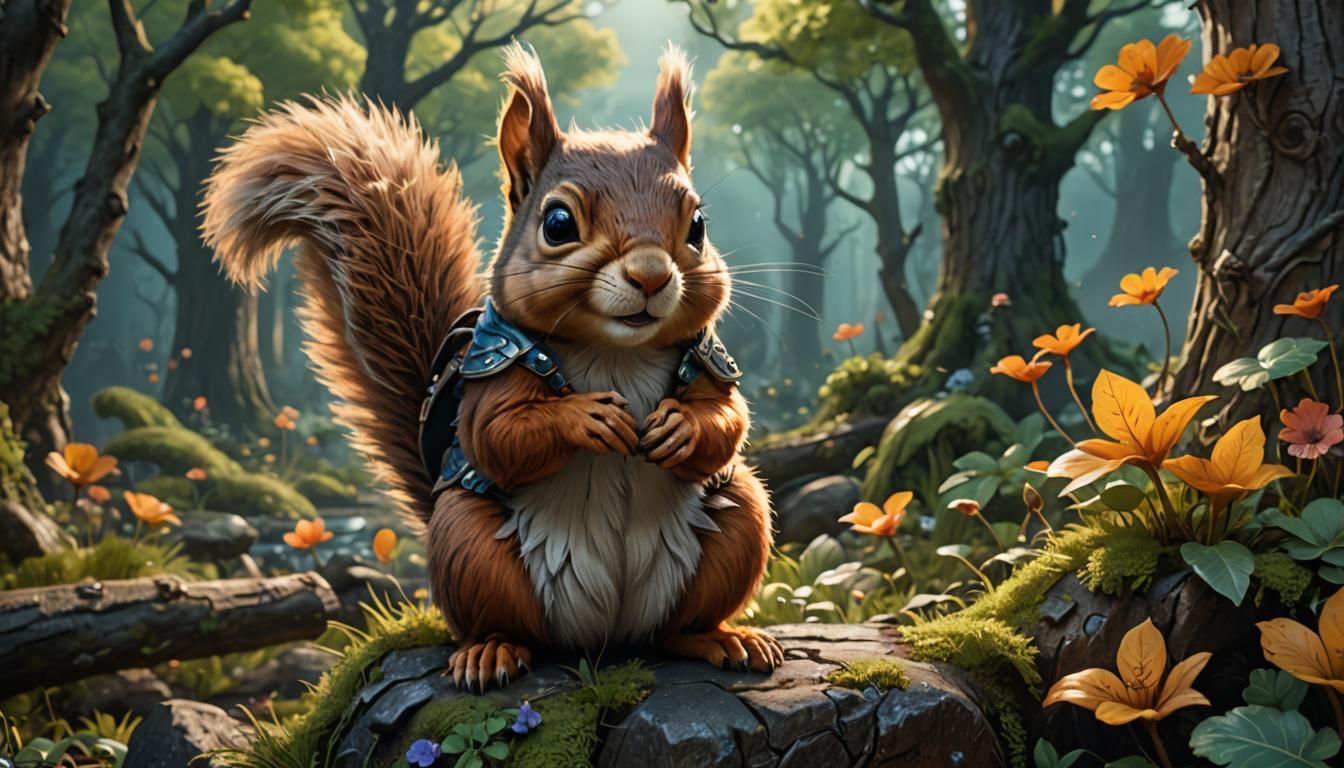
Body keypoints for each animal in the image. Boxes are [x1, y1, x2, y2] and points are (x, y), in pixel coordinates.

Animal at [200, 43, 781, 692]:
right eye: (558, 223)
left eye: (698, 226)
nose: (652, 275)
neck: (615, 350)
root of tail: (607, 641)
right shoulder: (497, 362)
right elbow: (498, 435)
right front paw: (586, 419)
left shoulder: (706, 357)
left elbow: (727, 416)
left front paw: (679, 426)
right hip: (466, 543)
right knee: (506, 622)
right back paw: (490, 652)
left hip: (741, 518)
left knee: (682, 622)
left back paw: (723, 638)